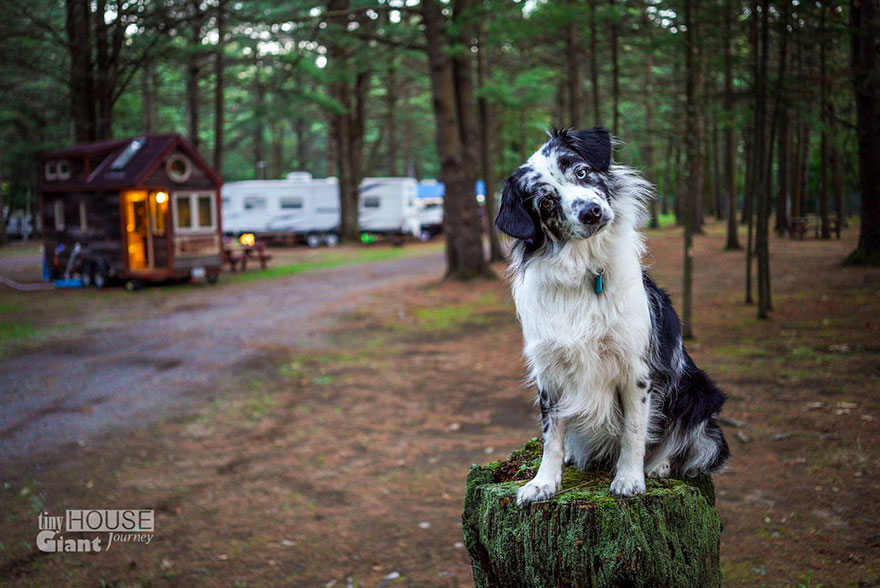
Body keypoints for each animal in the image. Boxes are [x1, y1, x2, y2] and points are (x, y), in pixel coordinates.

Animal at [496, 126, 728, 504]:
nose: (590, 212)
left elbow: (634, 431)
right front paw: (543, 482)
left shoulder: (637, 369)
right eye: (546, 202)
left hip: (698, 390)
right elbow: (551, 434)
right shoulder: (550, 372)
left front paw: (629, 478)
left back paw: (658, 466)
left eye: (581, 172)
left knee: (682, 440)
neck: (585, 273)